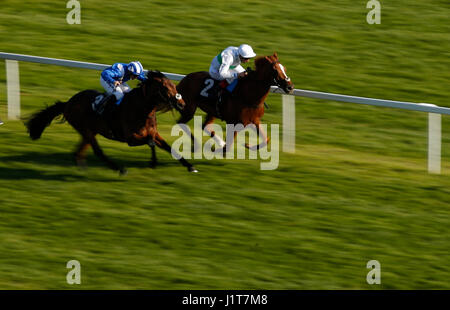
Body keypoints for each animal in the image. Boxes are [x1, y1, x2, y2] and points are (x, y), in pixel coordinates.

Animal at [24, 71, 197, 176]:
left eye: (174, 85)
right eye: (165, 87)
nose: (182, 104)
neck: (141, 109)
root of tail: (68, 103)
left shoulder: (154, 133)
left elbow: (167, 147)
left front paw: (190, 166)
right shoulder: (130, 138)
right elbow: (150, 142)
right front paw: (153, 162)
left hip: (89, 131)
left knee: (78, 152)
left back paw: (83, 169)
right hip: (85, 129)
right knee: (98, 151)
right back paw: (119, 169)